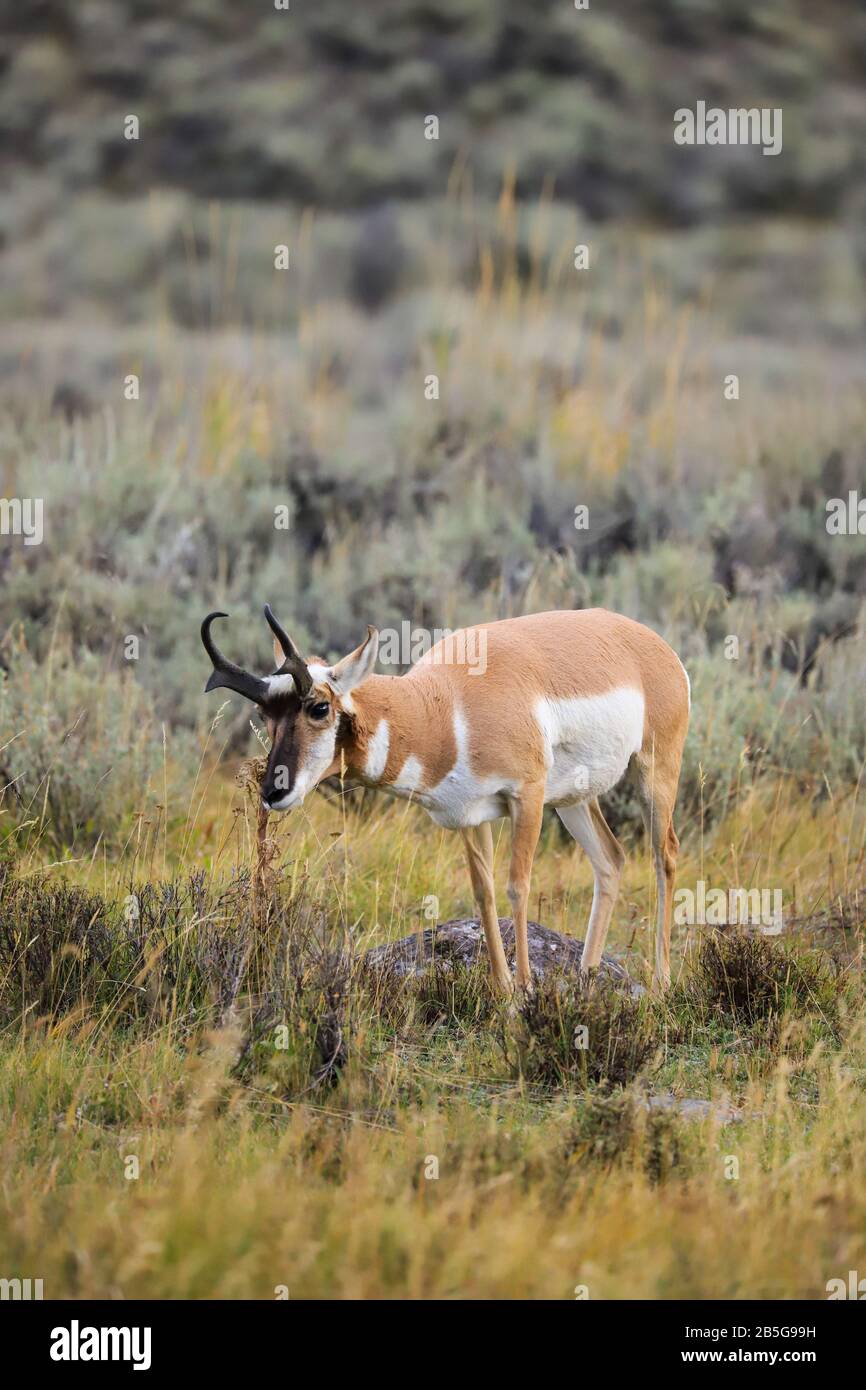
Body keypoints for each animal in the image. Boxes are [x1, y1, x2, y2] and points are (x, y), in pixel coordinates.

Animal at [202, 606, 692, 989]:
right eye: (265, 712)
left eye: (318, 707)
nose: (273, 791)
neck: (446, 705)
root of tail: (651, 643)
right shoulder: (471, 818)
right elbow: (484, 893)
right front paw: (505, 993)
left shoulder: (527, 798)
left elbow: (517, 886)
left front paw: (526, 989)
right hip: (574, 800)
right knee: (610, 860)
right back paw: (587, 979)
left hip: (654, 771)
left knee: (665, 854)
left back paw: (662, 983)